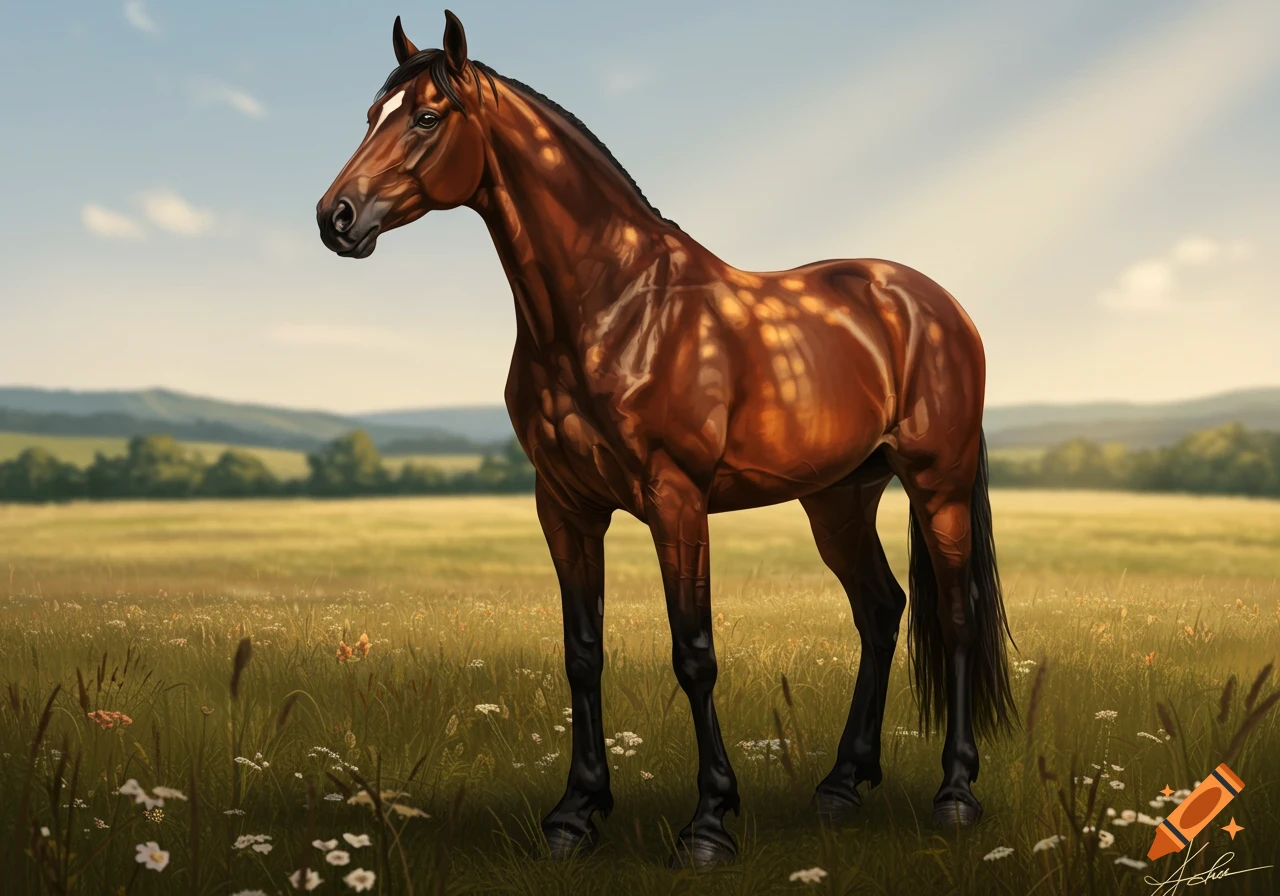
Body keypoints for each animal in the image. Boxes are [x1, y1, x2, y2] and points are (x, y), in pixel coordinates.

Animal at [317, 10, 1016, 869]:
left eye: (425, 116)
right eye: (370, 115)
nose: (336, 218)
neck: (614, 306)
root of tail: (935, 303)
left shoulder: (675, 500)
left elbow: (694, 653)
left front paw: (709, 823)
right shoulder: (566, 507)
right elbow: (583, 652)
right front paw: (575, 813)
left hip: (936, 484)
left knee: (954, 615)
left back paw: (956, 793)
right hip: (838, 498)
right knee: (881, 611)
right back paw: (841, 786)